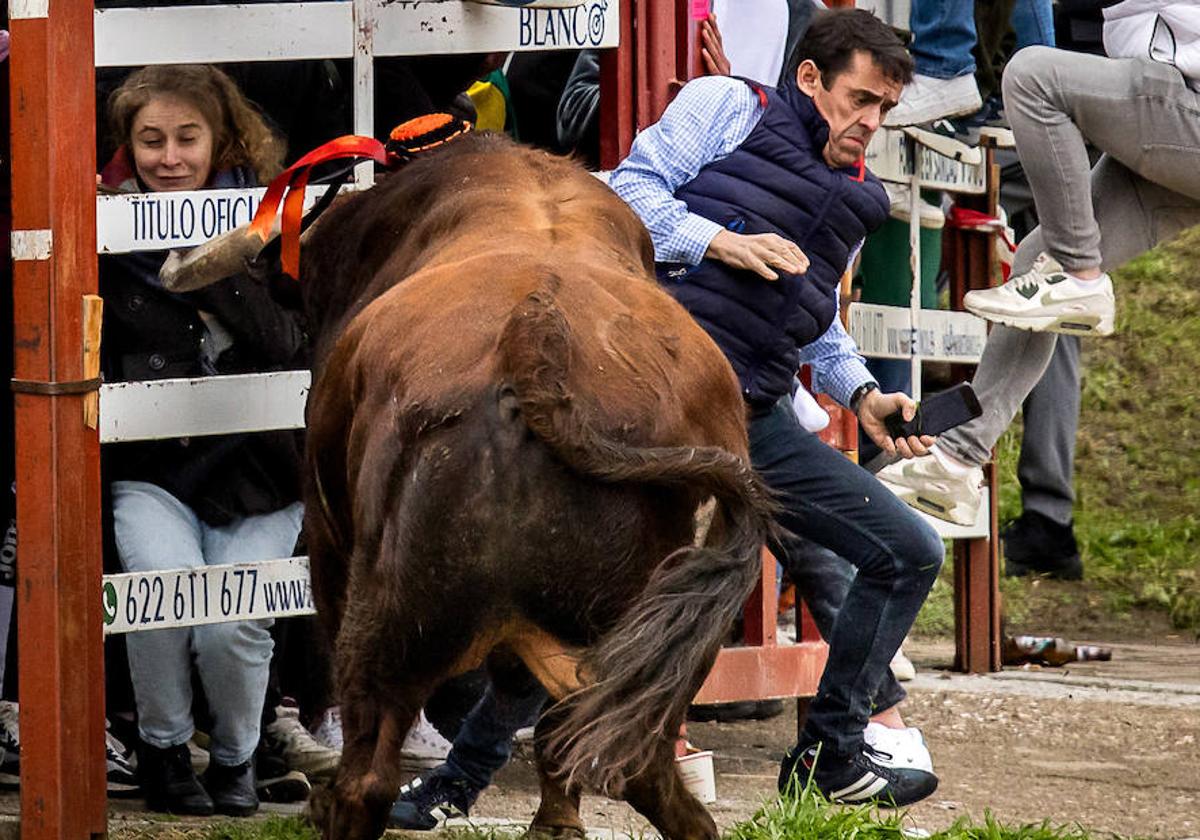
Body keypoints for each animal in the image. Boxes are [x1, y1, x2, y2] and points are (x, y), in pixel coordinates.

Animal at [164, 134, 772, 840]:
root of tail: (534, 347)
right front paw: (557, 816)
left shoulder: (325, 535)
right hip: (661, 648)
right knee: (635, 764)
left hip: (388, 615)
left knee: (369, 773)